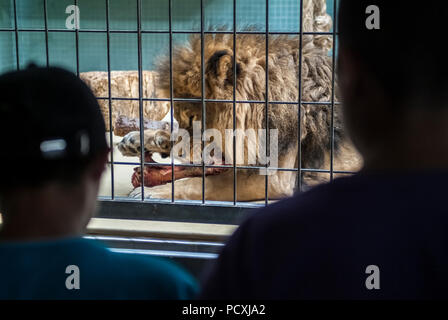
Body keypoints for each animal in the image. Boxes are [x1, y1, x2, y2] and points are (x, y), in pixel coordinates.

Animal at [117, 30, 362, 202]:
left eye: (193, 118)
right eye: (180, 115)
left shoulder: (275, 178)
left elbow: (200, 184)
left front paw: (151, 191)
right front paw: (138, 139)